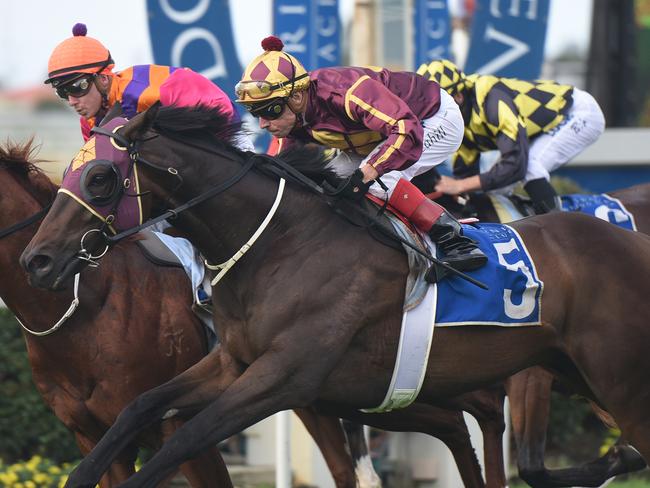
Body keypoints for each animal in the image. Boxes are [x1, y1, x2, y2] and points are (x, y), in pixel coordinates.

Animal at [20, 107, 648, 488]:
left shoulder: (283, 378)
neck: (283, 243)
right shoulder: (234, 363)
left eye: (101, 178)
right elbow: (140, 408)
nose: (36, 260)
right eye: (68, 172)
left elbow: (188, 438)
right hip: (571, 372)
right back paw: (616, 457)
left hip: (614, 381)